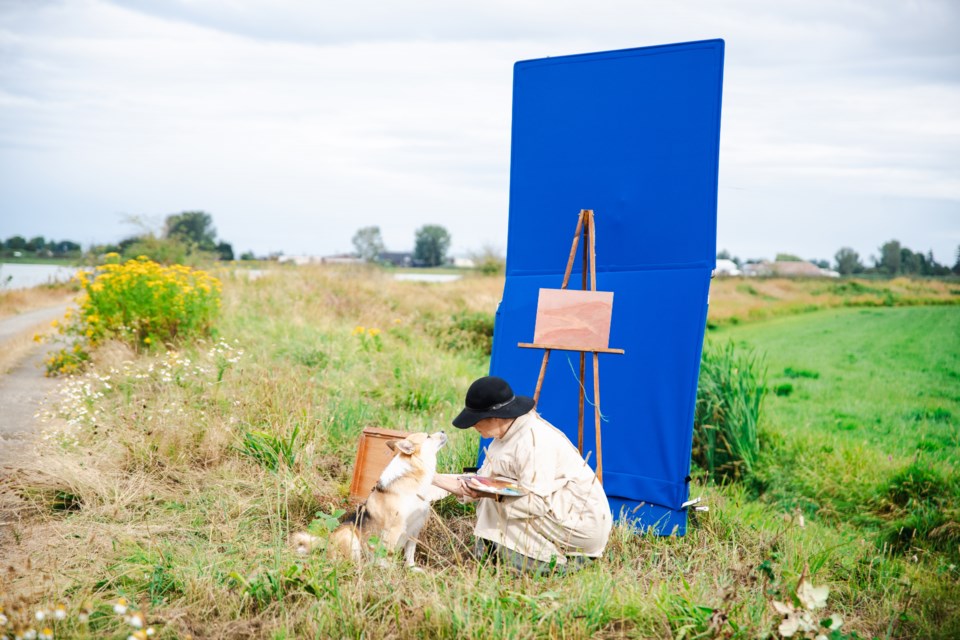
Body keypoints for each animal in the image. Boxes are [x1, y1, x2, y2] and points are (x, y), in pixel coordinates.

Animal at [292, 432, 450, 568]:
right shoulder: (394, 531)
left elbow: (410, 553)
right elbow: (389, 555)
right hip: (349, 535)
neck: (410, 477)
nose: (443, 430)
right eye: (428, 436)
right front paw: (390, 572)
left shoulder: (415, 528)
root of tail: (327, 542)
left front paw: (411, 569)